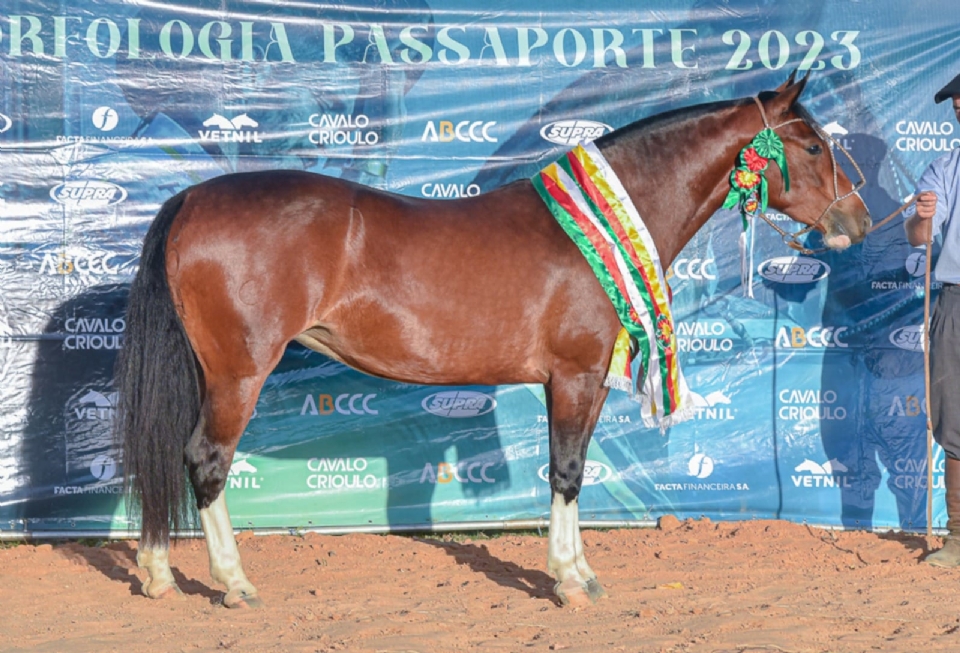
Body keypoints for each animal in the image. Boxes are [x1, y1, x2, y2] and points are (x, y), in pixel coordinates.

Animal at [112, 74, 872, 608]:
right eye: (811, 145)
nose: (858, 220)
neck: (596, 229)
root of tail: (192, 199)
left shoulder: (587, 383)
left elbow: (574, 472)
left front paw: (580, 571)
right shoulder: (572, 378)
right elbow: (567, 472)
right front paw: (570, 581)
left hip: (207, 371)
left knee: (170, 456)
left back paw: (157, 574)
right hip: (240, 372)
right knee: (206, 461)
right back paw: (234, 583)